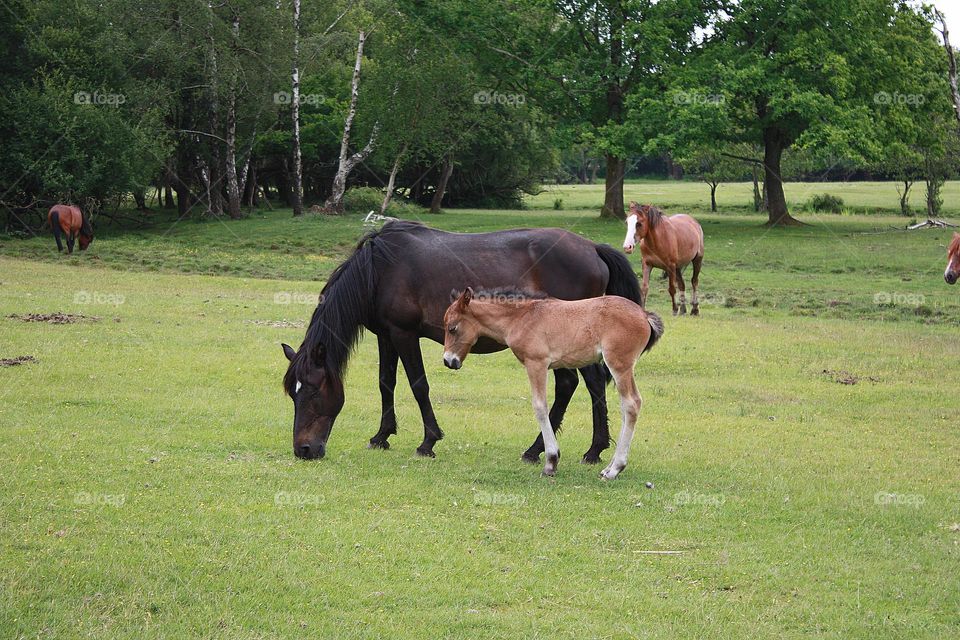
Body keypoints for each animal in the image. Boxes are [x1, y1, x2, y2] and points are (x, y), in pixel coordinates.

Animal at [281, 220, 643, 463]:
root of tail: (593, 248)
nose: (303, 449)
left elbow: (418, 385)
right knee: (582, 384)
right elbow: (386, 383)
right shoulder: (386, 334)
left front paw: (428, 441)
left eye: (313, 392)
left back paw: (567, 449)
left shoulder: (404, 334)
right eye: (293, 394)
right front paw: (382, 436)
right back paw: (570, 449)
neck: (378, 269)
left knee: (583, 384)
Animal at [442, 287, 663, 479]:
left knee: (632, 403)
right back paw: (609, 467)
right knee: (626, 406)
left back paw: (615, 469)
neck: (521, 317)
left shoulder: (536, 363)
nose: (448, 361)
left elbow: (540, 407)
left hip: (619, 364)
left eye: (452, 328)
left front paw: (551, 462)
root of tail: (644, 314)